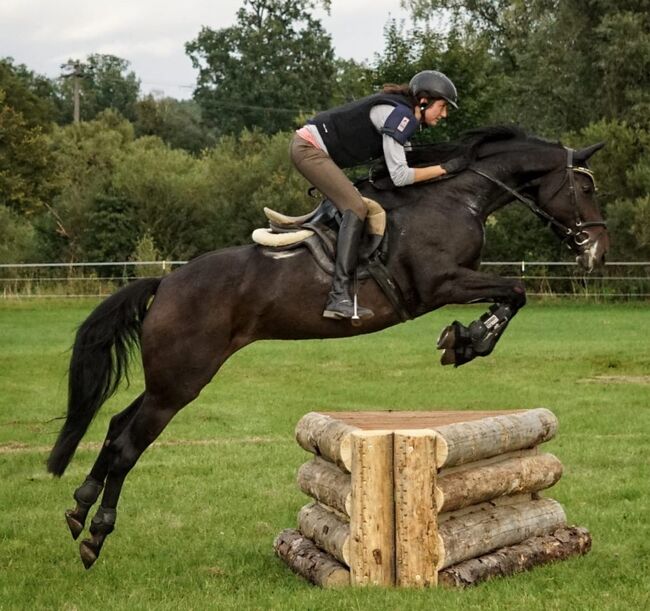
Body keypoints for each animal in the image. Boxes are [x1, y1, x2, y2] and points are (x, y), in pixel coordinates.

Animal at [46, 125, 608, 568]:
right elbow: (516, 289)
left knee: (116, 426)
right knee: (127, 445)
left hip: (171, 378)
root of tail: (165, 284)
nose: (597, 252)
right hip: (179, 383)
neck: (454, 197)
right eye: (584, 185)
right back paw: (96, 534)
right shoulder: (440, 283)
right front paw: (469, 341)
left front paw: (464, 340)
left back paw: (78, 508)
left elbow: (512, 293)